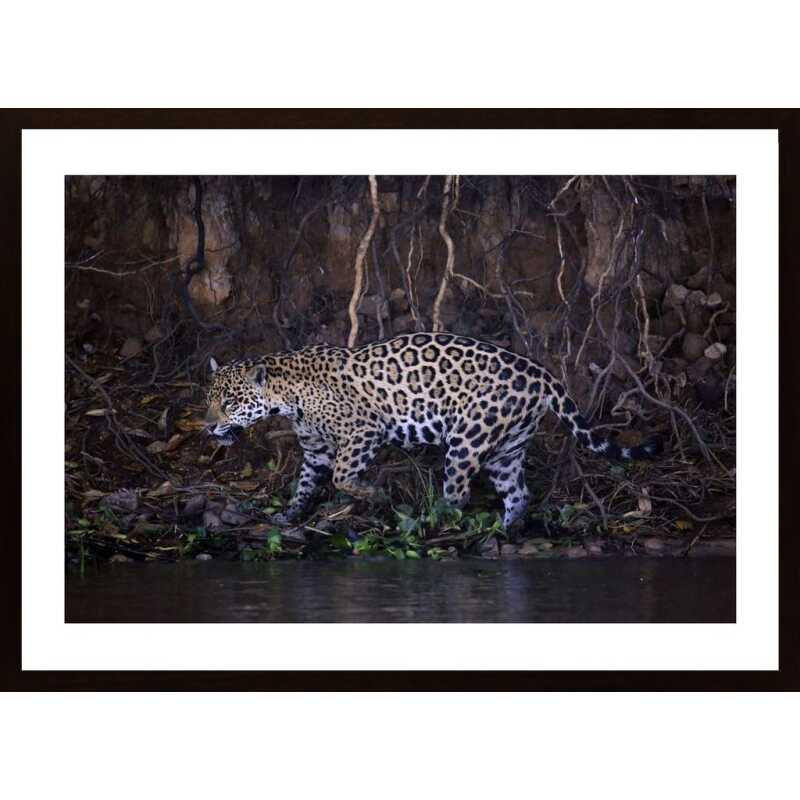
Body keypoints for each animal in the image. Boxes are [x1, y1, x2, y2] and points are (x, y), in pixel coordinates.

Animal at [204, 332, 661, 529]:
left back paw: (436, 522)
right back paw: (503, 531)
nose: (209, 426)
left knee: (457, 493)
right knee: (518, 492)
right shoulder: (315, 447)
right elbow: (306, 483)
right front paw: (290, 514)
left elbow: (342, 475)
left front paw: (373, 494)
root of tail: (540, 373)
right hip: (507, 447)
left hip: (468, 438)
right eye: (209, 398)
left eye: (229, 402)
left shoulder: (364, 431)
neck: (287, 395)